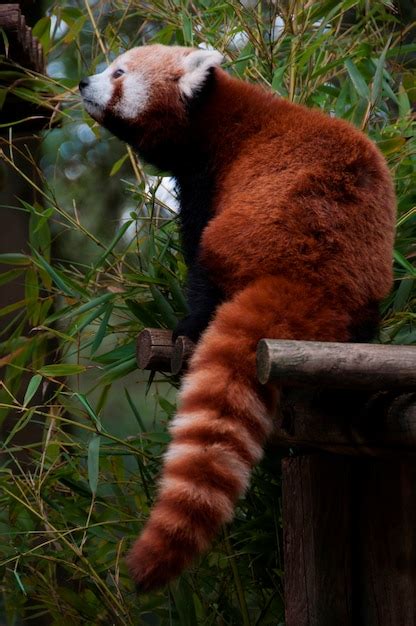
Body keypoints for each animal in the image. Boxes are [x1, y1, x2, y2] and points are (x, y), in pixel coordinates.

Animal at [79, 41, 396, 588]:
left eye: (118, 73)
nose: (82, 84)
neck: (213, 116)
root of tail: (312, 280)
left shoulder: (208, 179)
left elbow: (193, 242)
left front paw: (187, 319)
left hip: (248, 232)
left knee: (210, 262)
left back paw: (191, 327)